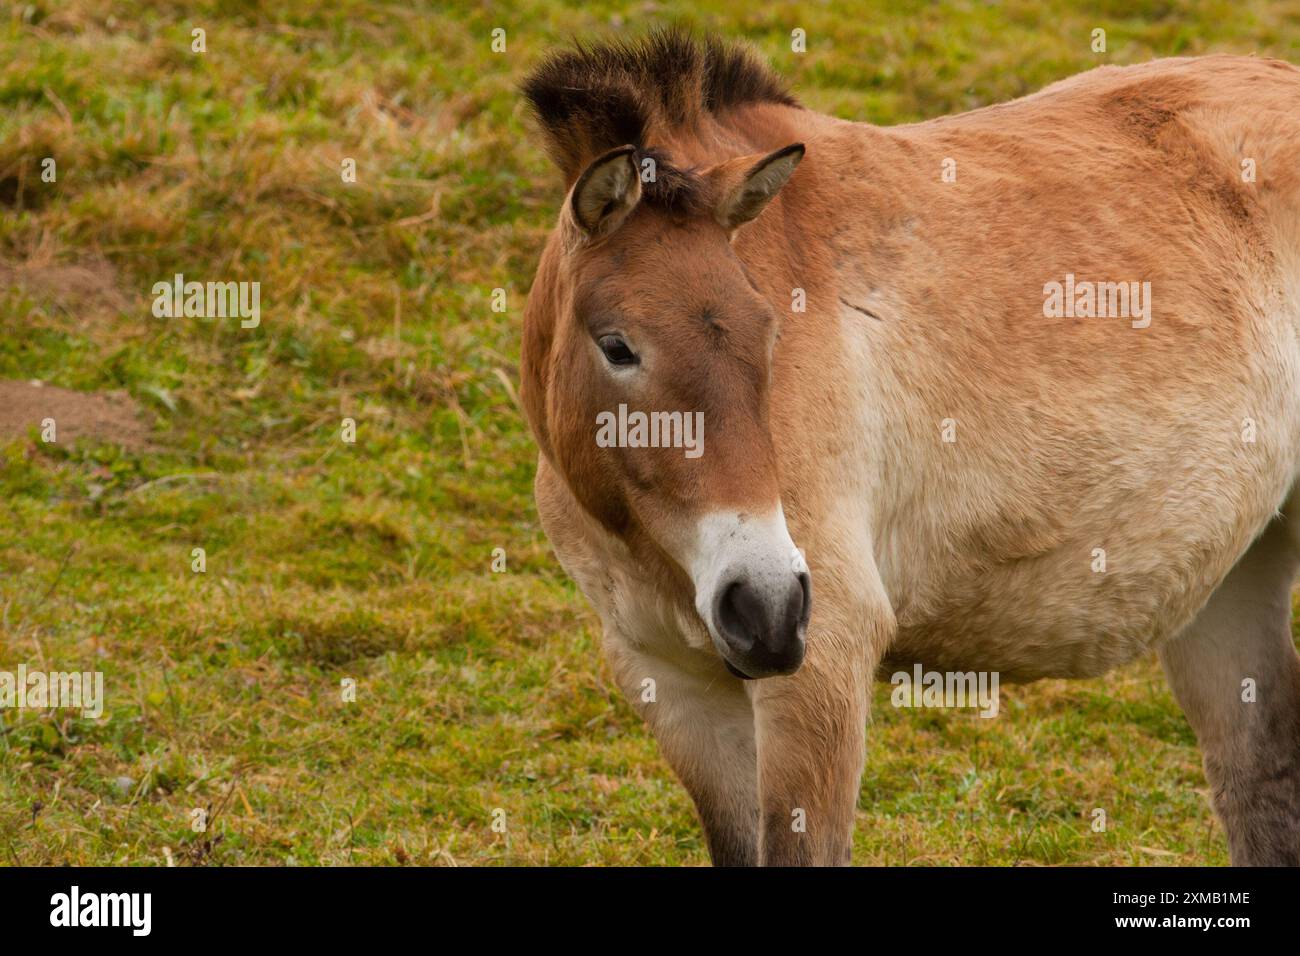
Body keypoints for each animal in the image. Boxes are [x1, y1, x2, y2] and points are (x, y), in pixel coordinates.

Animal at [518, 29, 1300, 865]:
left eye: (769, 330)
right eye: (617, 347)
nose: (764, 605)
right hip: (1230, 578)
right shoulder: (672, 681)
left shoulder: (820, 666)